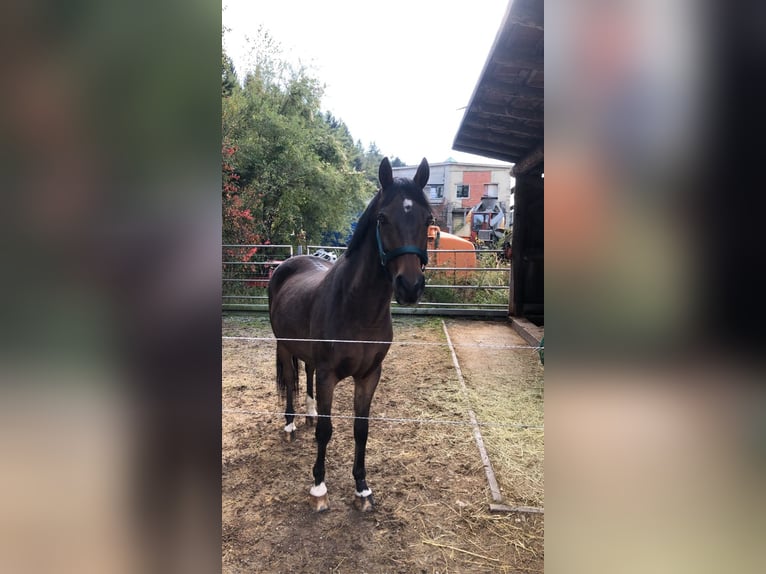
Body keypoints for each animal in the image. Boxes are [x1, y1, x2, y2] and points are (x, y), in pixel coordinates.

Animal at [268, 156, 432, 512]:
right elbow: (327, 430)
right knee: (290, 380)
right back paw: (290, 424)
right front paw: (319, 487)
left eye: (428, 219)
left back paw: (309, 414)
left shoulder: (369, 375)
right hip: (284, 347)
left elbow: (361, 428)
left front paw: (362, 488)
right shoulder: (329, 374)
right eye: (383, 218)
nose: (410, 286)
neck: (358, 309)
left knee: (306, 375)